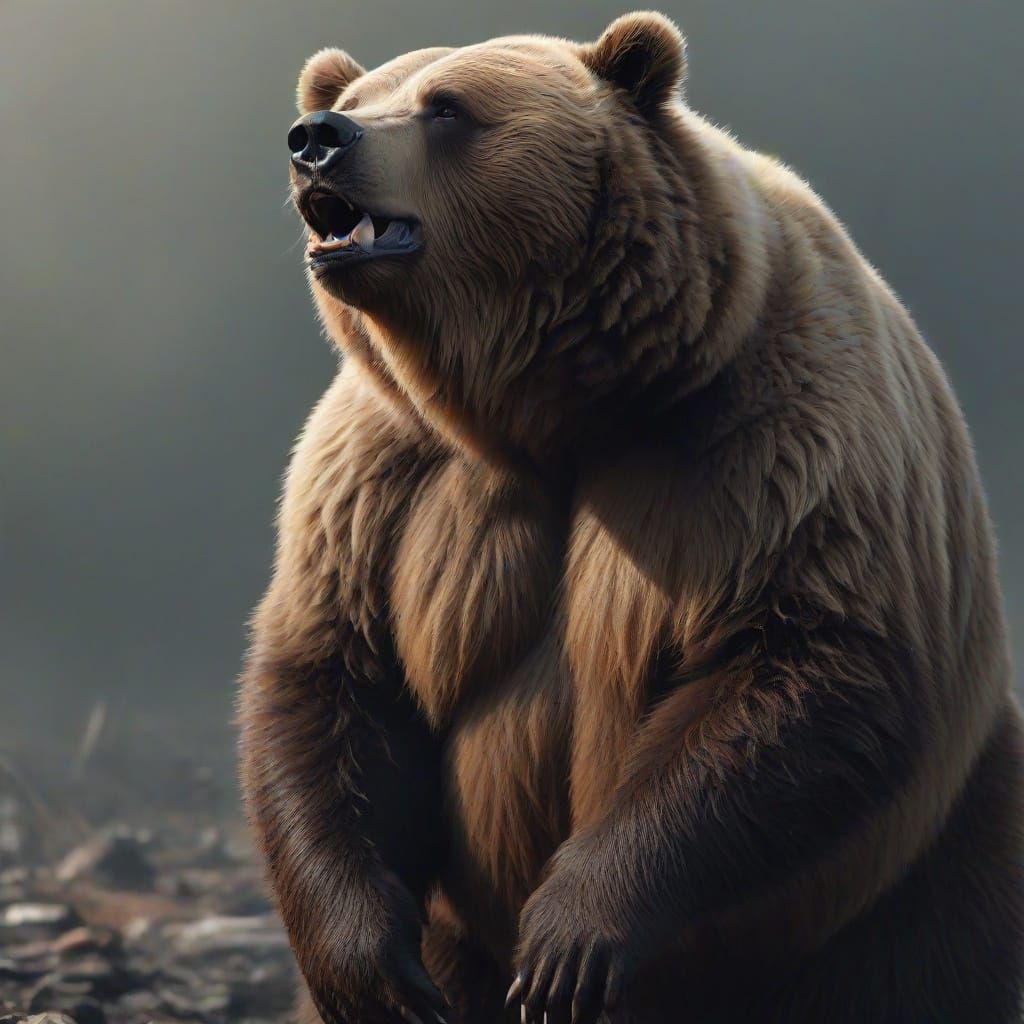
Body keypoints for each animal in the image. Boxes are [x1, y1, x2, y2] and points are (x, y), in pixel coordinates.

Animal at [239, 11, 1024, 1023]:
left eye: (446, 108)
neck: (560, 409)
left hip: (921, 865)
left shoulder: (765, 437)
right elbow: (335, 673)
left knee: (933, 951)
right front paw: (376, 970)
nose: (316, 140)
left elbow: (800, 658)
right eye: (356, 96)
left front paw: (571, 943)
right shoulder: (384, 473)